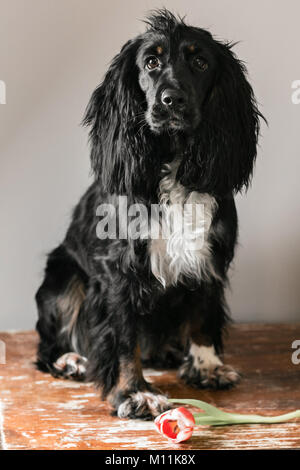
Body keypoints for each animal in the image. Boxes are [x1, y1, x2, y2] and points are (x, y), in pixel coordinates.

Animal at [36, 9, 264, 418]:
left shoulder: (208, 257)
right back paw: (70, 360)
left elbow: (203, 315)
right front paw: (135, 393)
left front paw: (207, 366)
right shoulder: (117, 271)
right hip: (63, 279)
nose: (171, 100)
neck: (172, 164)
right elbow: (125, 339)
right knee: (47, 345)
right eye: (151, 63)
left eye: (200, 62)